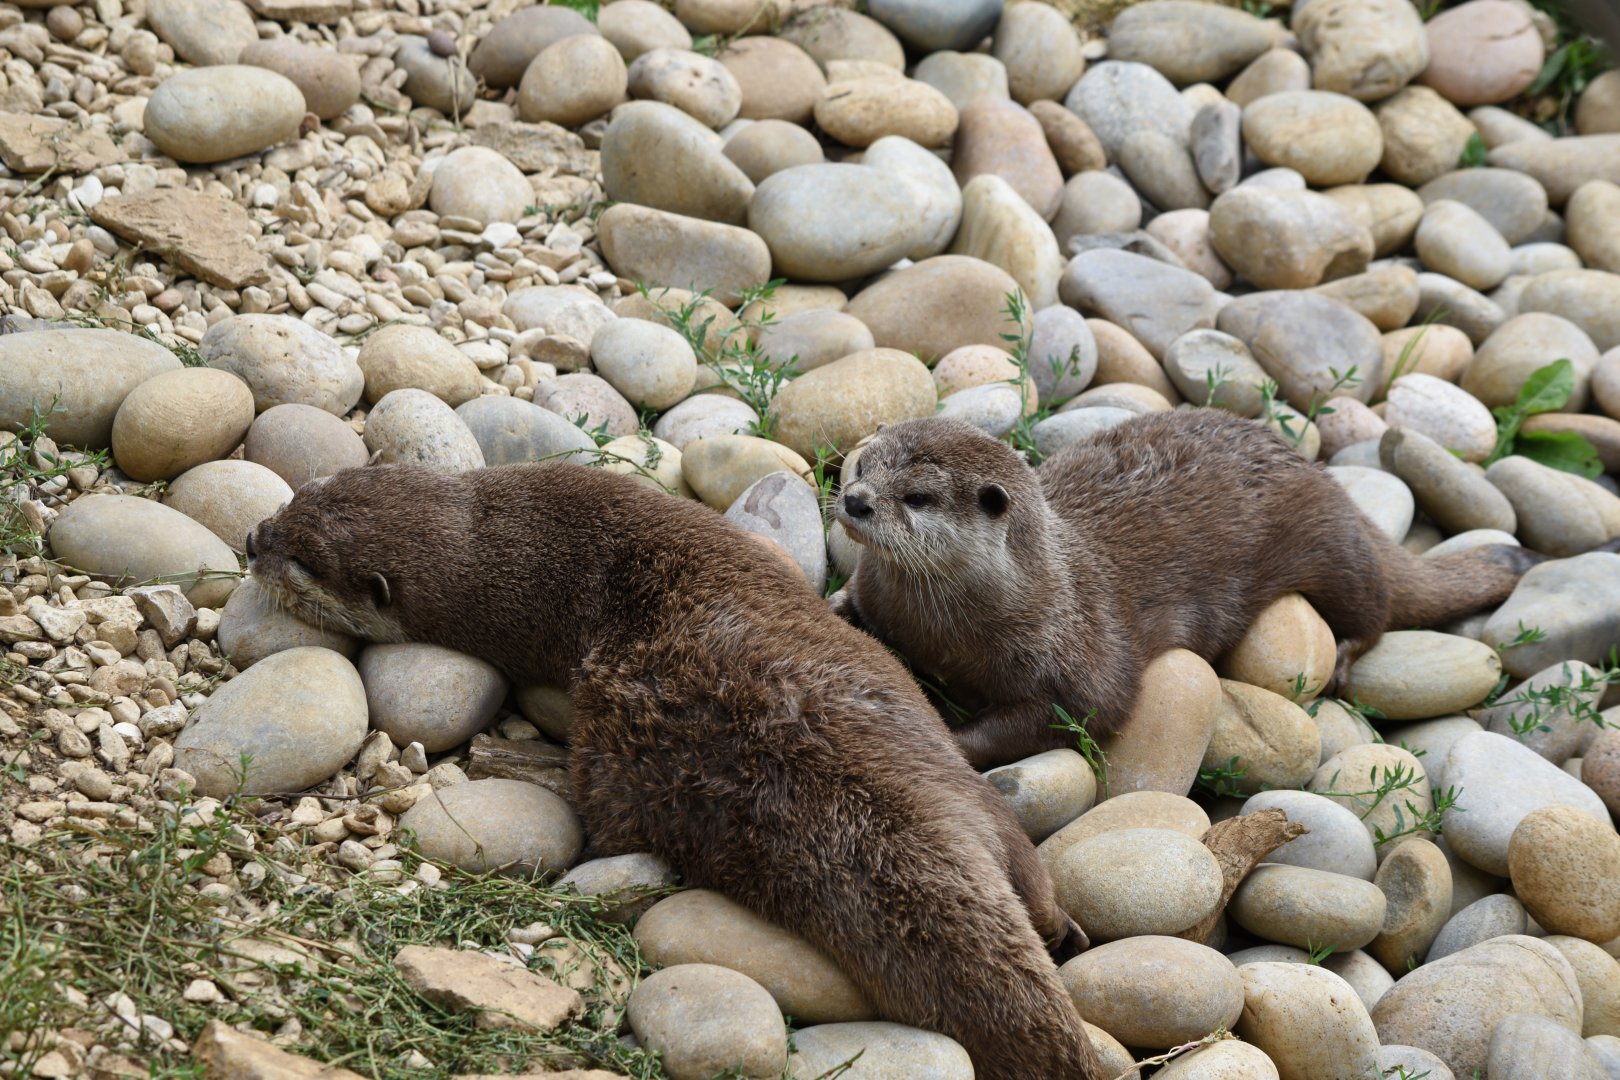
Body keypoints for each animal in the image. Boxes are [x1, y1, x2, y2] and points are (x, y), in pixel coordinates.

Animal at [831, 410, 1543, 770]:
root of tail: (1322, 475)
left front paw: (947, 741)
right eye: (863, 464)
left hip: (1333, 547)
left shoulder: (1083, 656)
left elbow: (1087, 709)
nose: (856, 500)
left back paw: (1341, 657)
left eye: (916, 497)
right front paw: (835, 609)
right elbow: (858, 612)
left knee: (1374, 606)